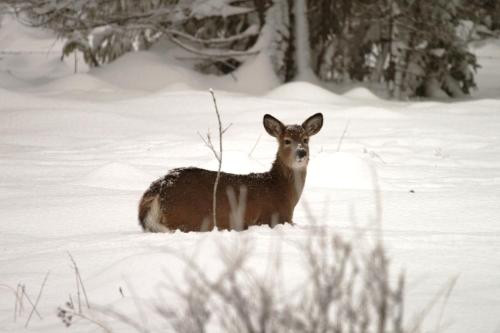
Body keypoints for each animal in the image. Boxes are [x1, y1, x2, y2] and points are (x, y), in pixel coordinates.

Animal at [138, 113, 324, 232]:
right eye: (287, 141)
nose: (301, 153)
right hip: (189, 218)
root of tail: (158, 190)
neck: (280, 189)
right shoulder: (273, 219)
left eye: (306, 140)